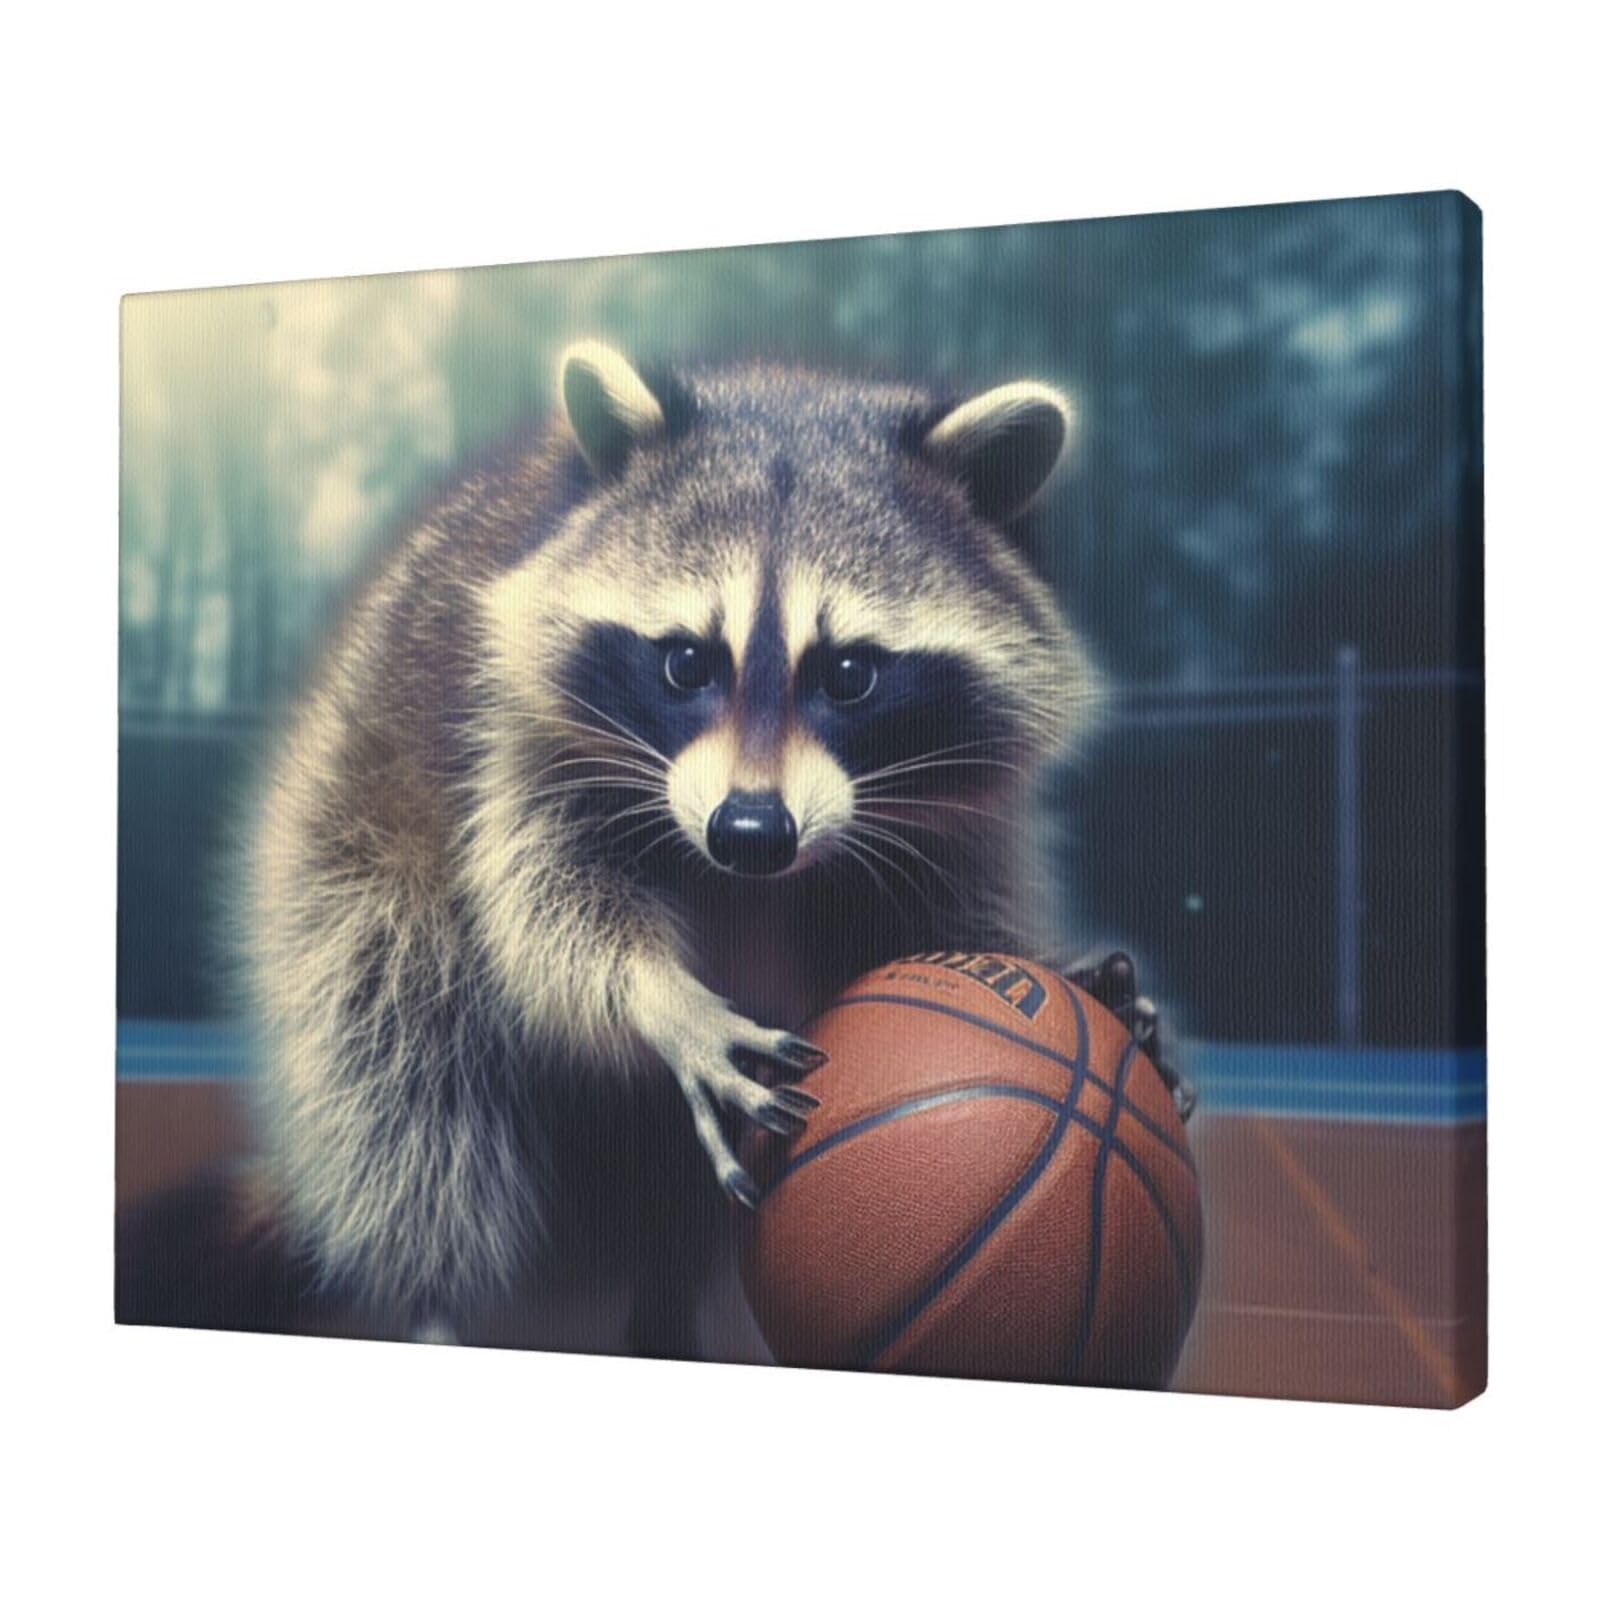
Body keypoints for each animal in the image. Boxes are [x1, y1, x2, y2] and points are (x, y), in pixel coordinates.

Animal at [242, 341, 1188, 1351]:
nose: (750, 832)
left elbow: (938, 916)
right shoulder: (509, 737)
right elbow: (546, 906)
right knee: (407, 1086)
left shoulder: (952, 820)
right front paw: (660, 997)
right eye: (687, 662)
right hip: (353, 860)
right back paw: (435, 1300)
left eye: (849, 675)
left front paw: (1056, 970)